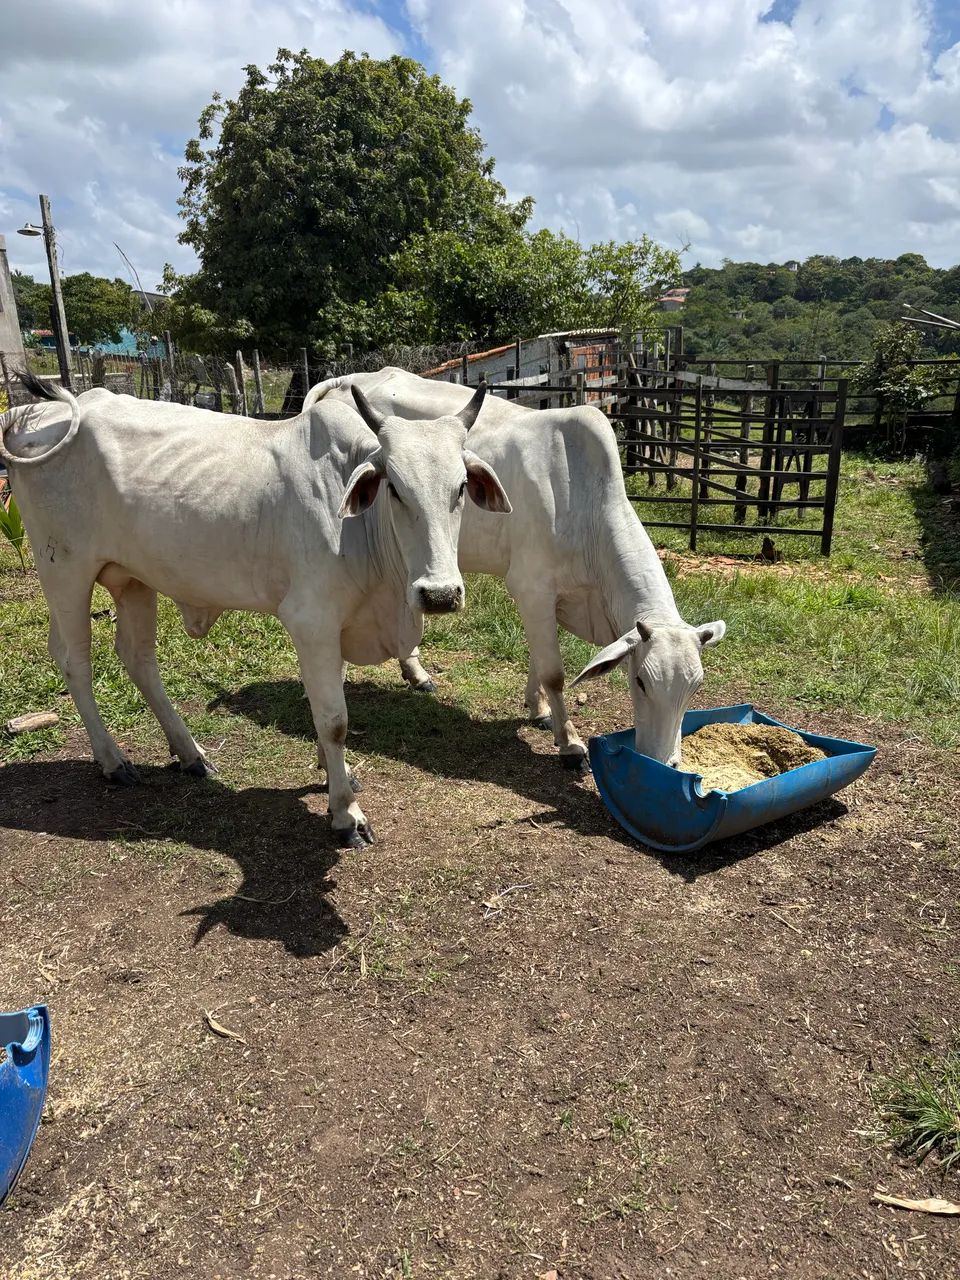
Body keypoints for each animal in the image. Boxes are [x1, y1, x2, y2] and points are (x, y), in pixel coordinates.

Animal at [1, 372, 510, 848]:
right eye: (396, 489)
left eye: (460, 488)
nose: (439, 594)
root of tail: (37, 415)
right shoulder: (311, 620)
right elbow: (335, 720)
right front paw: (346, 813)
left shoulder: (334, 625)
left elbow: (327, 705)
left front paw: (333, 773)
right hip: (64, 572)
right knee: (75, 661)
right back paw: (113, 760)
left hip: (133, 580)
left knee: (137, 658)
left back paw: (191, 754)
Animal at [304, 369, 726, 771]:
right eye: (640, 682)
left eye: (696, 689)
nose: (664, 762)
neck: (583, 503)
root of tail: (347, 381)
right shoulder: (532, 586)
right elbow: (554, 671)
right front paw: (570, 743)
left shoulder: (548, 598)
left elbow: (539, 660)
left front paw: (539, 710)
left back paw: (417, 674)